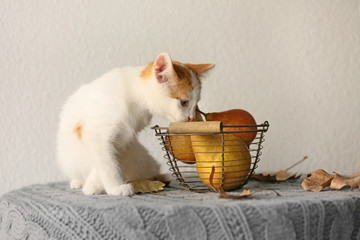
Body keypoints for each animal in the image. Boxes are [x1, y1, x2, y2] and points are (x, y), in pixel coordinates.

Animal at [56, 52, 214, 195]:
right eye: (184, 102)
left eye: (196, 104)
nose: (192, 118)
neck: (132, 95)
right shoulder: (97, 135)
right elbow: (106, 162)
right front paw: (114, 187)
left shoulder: (123, 139)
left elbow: (105, 161)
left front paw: (95, 184)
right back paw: (78, 182)